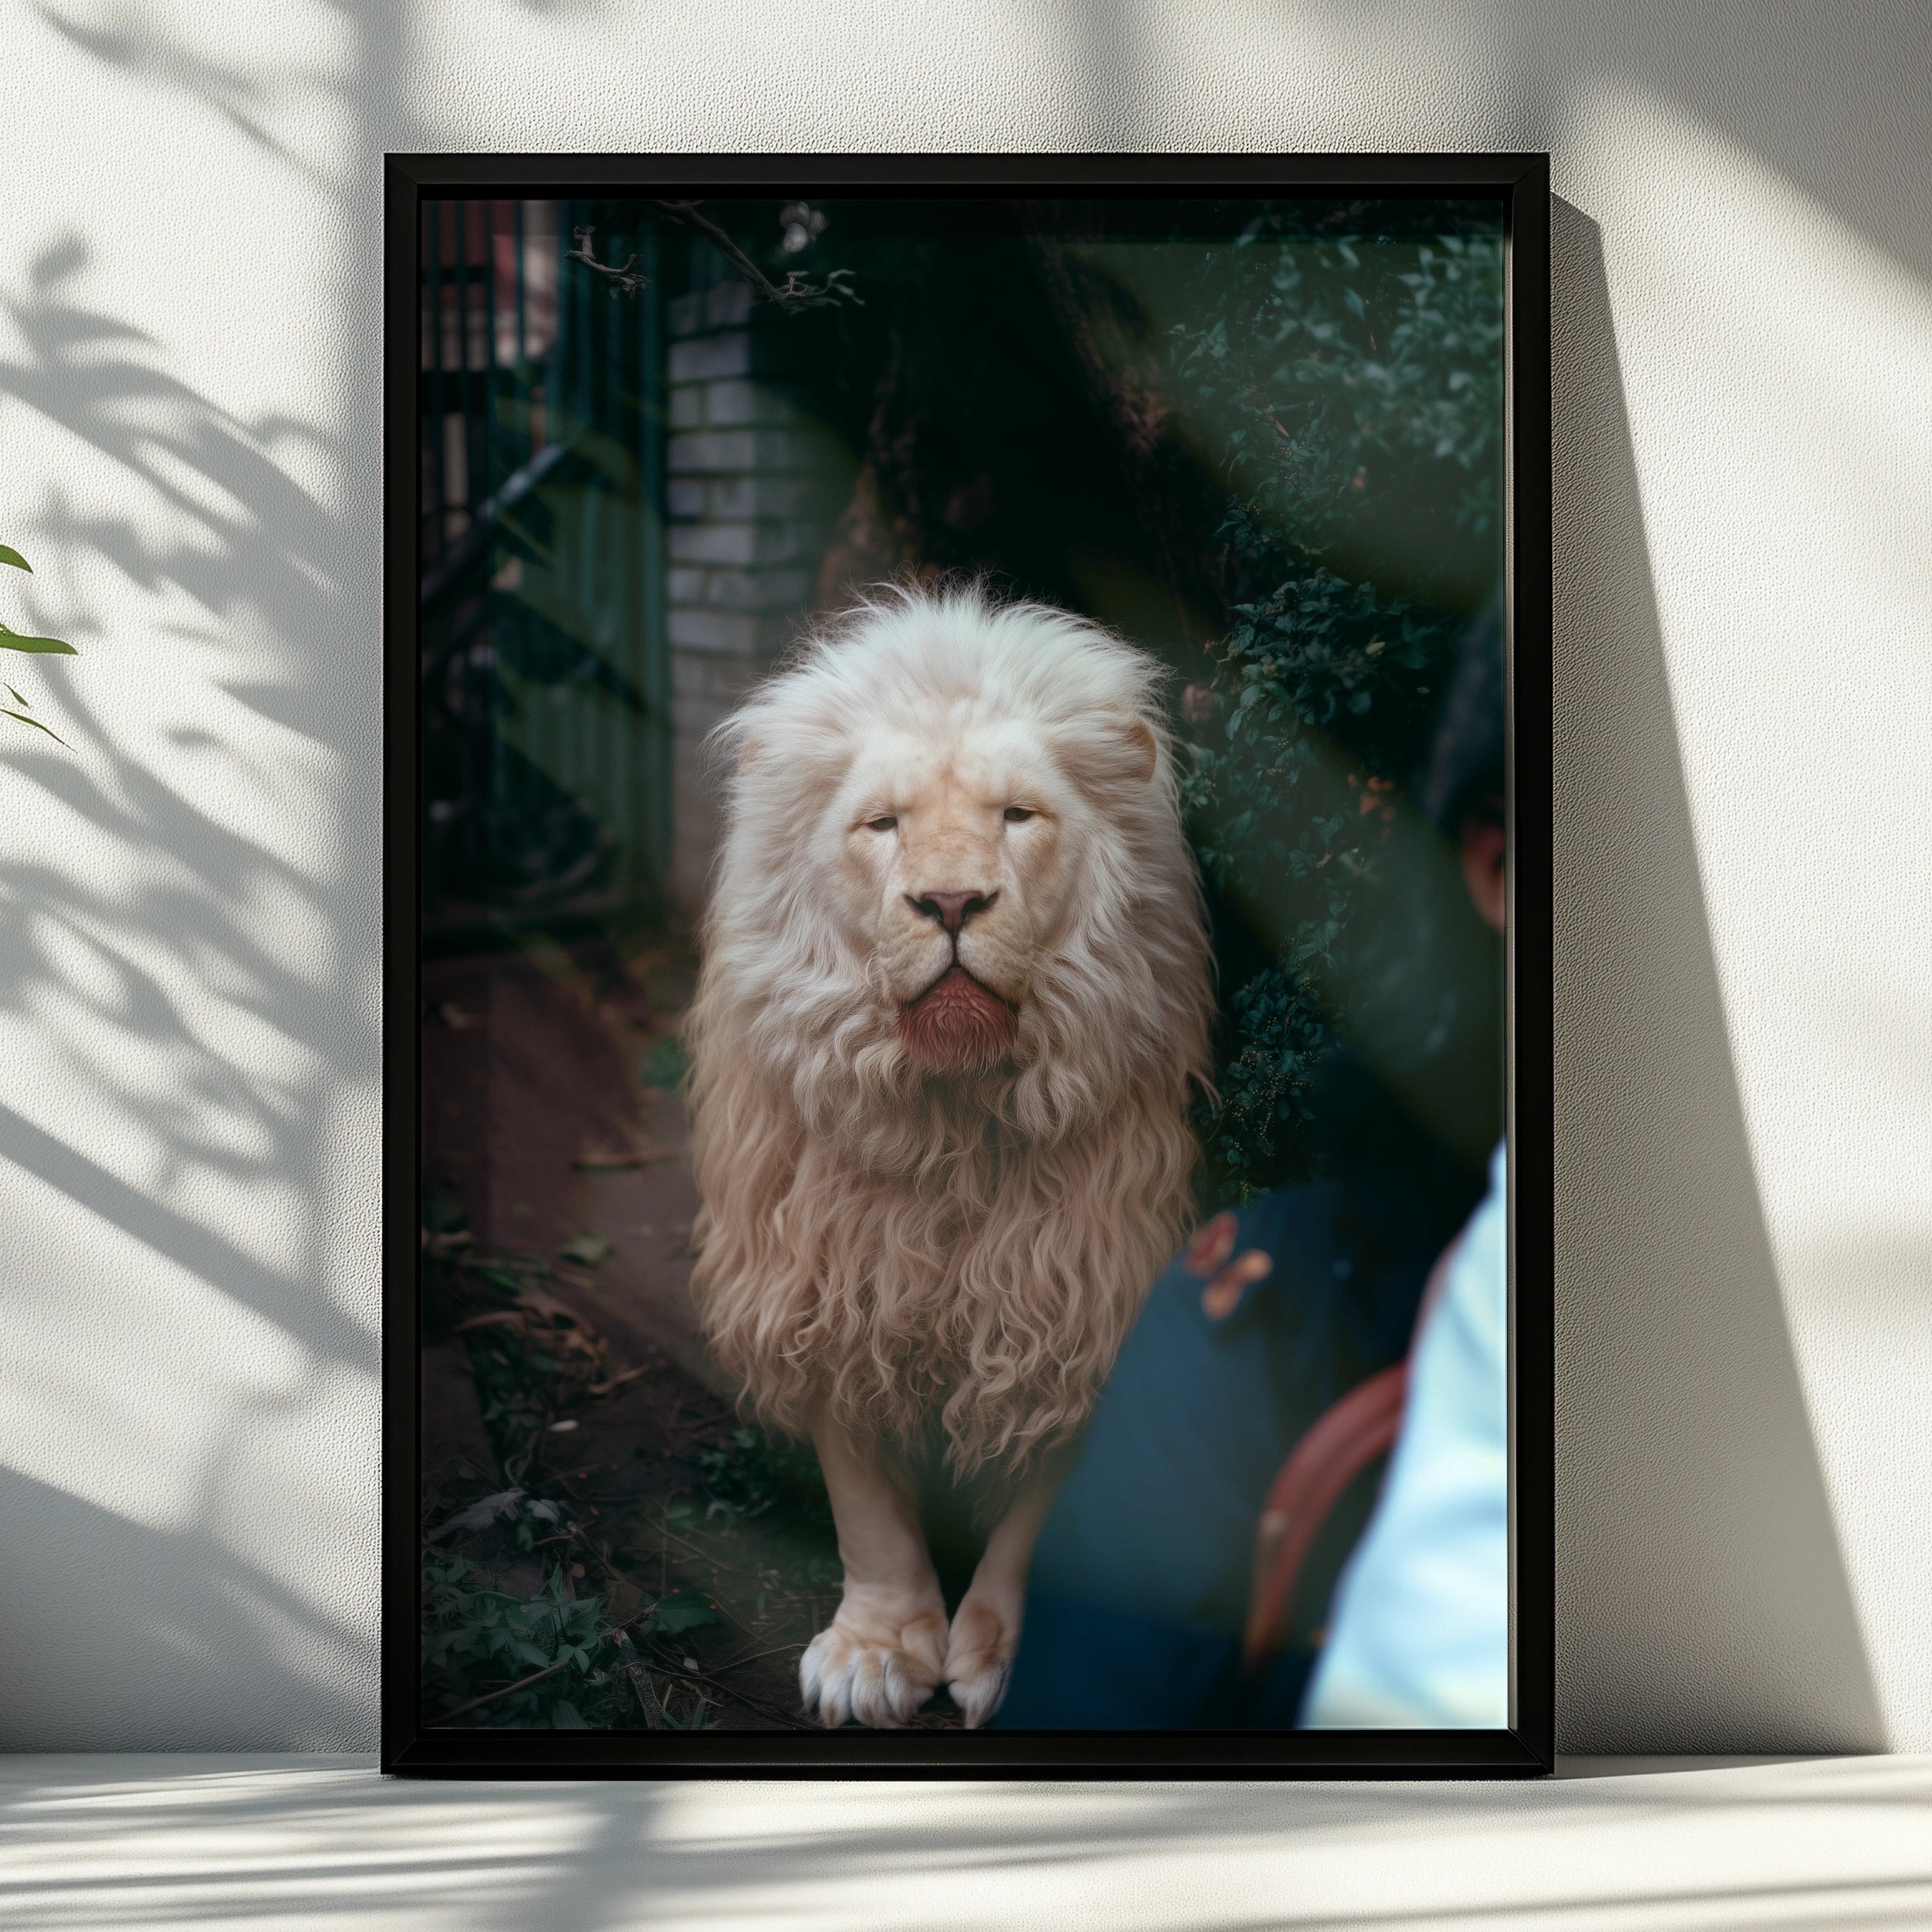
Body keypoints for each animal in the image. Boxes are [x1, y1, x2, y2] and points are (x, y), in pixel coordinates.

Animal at [685, 584, 1213, 1728]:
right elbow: (867, 1510)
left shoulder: (1078, 1292)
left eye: (1018, 816)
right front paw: (878, 1651)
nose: (954, 904)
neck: (953, 1123)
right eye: (882, 825)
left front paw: (1007, 1654)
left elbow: (1045, 1511)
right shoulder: (827, 1274)